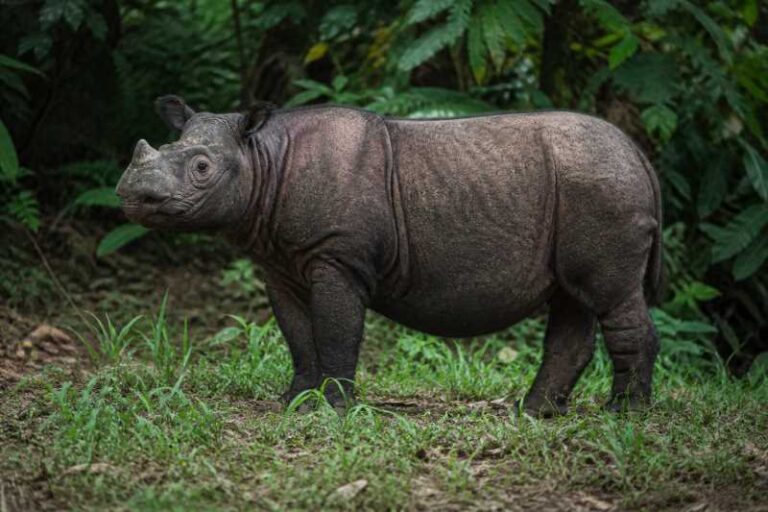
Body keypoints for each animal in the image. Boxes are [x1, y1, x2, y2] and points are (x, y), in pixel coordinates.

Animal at [116, 95, 662, 416]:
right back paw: (534, 413)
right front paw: (294, 402)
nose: (133, 194)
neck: (265, 157)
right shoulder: (280, 263)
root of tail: (640, 155)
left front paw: (333, 409)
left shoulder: (337, 255)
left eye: (202, 168)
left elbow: (336, 332)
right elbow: (298, 335)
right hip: (585, 187)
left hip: (602, 187)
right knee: (573, 298)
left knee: (608, 295)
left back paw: (623, 415)